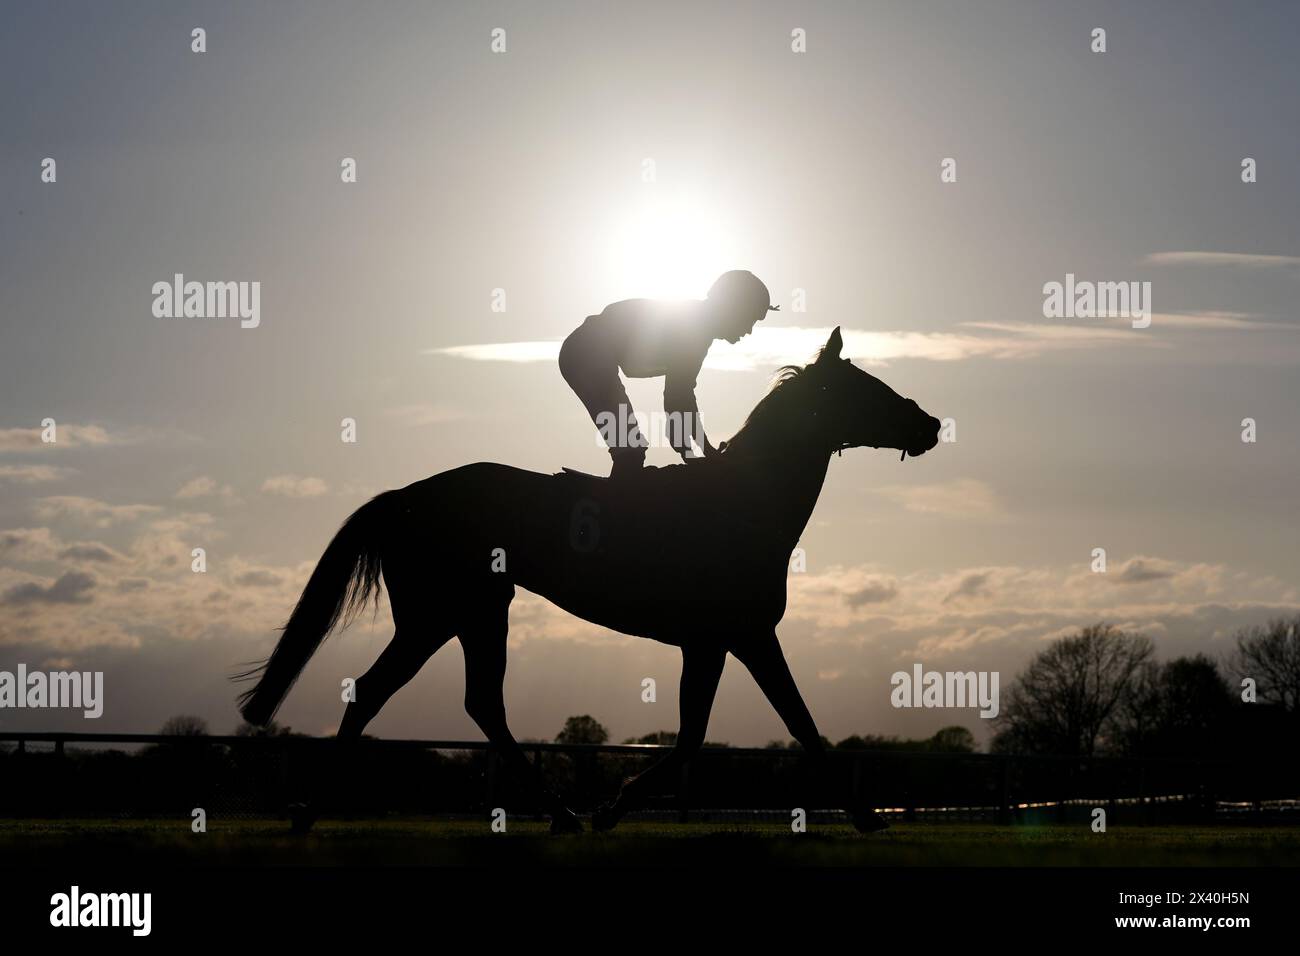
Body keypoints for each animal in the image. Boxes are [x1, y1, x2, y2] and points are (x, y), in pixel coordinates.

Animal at [239, 330, 941, 837]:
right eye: (866, 387)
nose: (931, 425)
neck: (745, 505)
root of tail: (404, 497)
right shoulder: (742, 635)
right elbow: (796, 725)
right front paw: (865, 817)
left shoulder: (713, 642)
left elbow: (702, 734)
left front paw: (610, 806)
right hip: (440, 614)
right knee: (378, 693)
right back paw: (309, 812)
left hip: (476, 613)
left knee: (479, 704)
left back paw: (560, 813)